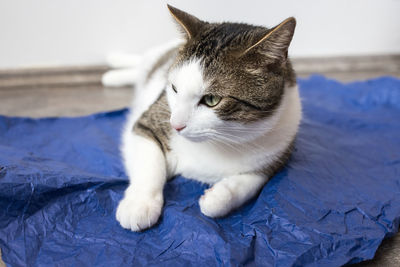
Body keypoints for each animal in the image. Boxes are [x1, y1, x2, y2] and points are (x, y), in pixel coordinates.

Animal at [101, 5, 302, 232]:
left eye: (211, 99)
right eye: (174, 89)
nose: (175, 125)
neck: (223, 139)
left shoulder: (278, 154)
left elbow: (250, 183)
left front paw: (217, 197)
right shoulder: (148, 122)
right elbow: (150, 165)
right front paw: (140, 204)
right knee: (144, 61)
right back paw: (114, 67)